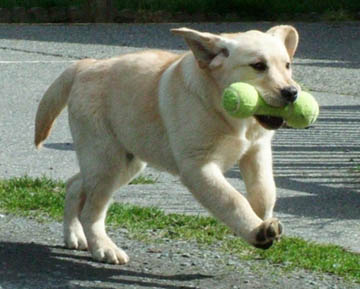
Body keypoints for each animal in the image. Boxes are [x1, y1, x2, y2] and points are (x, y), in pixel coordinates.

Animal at [35, 24, 300, 264]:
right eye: (258, 66)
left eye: (287, 65)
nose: (292, 92)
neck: (226, 110)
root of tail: (86, 65)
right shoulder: (198, 167)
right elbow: (232, 199)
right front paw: (257, 230)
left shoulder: (257, 151)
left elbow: (264, 191)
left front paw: (261, 219)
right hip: (106, 162)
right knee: (91, 211)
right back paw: (104, 248)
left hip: (123, 162)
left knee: (74, 185)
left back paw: (74, 236)